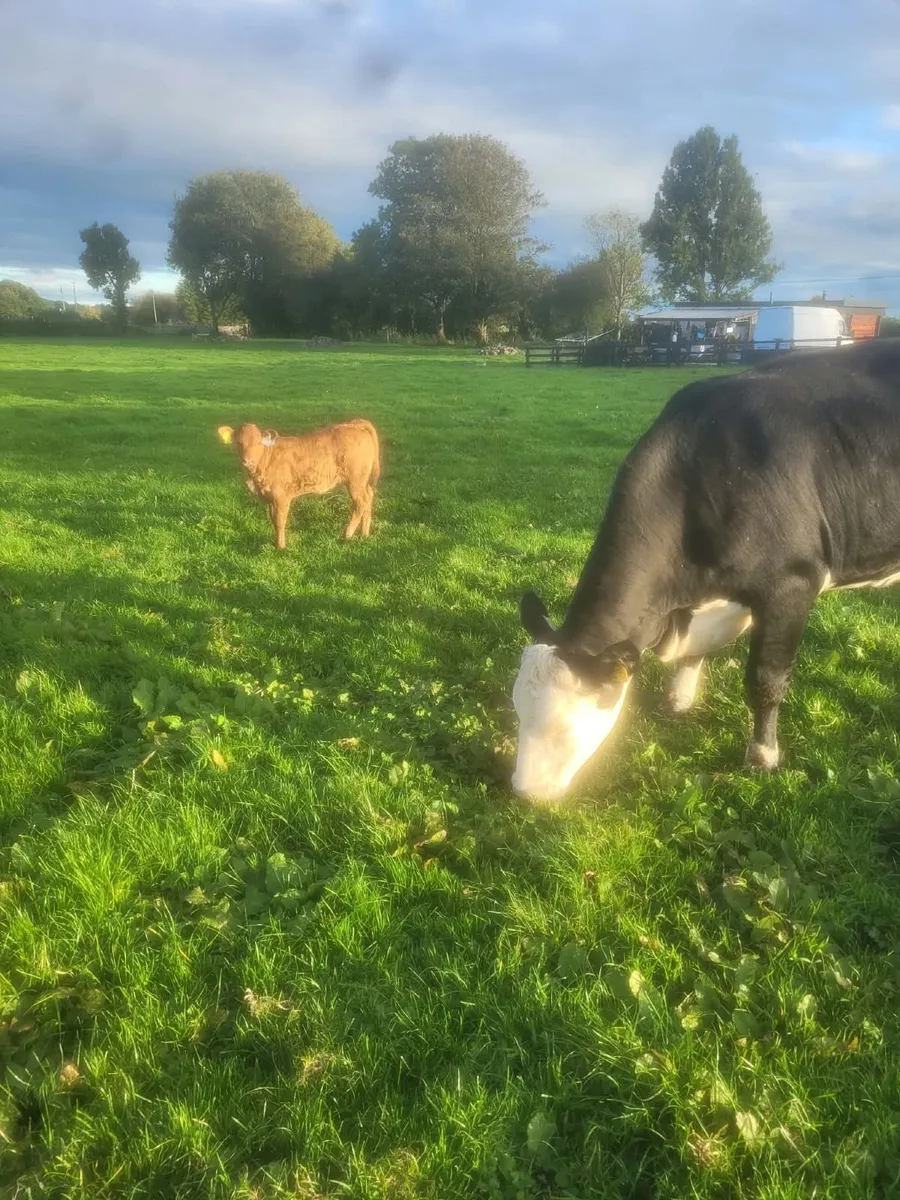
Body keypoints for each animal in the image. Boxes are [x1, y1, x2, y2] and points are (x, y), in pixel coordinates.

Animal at [217, 419, 380, 550]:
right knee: (369, 497)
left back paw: (347, 534)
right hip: (362, 480)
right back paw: (364, 534)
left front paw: (281, 547)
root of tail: (354, 424)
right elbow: (273, 520)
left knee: (360, 502)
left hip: (355, 479)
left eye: (258, 442)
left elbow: (280, 521)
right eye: (239, 442)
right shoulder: (270, 498)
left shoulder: (281, 496)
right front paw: (276, 543)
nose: (248, 460)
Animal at [511, 339, 900, 801]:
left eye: (565, 728)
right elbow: (695, 651)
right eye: (517, 710)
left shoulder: (791, 584)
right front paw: (679, 700)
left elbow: (766, 681)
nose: (523, 791)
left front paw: (763, 756)